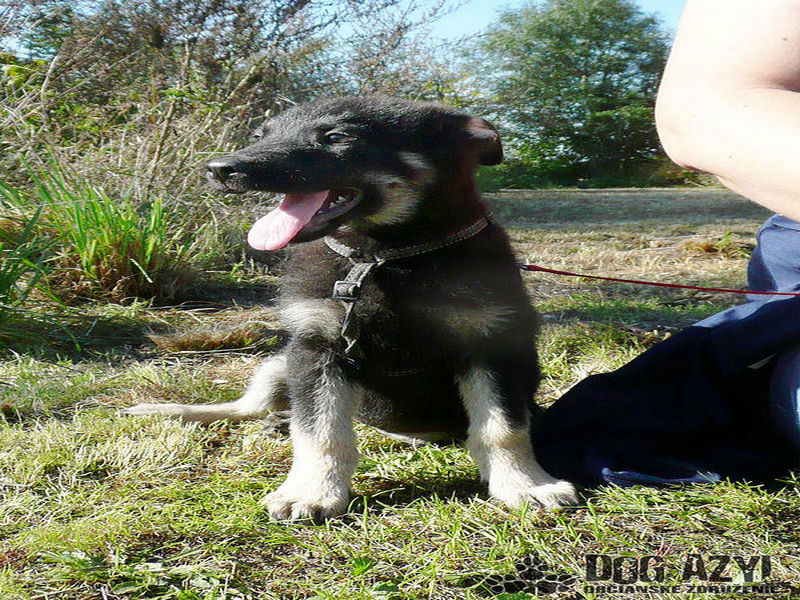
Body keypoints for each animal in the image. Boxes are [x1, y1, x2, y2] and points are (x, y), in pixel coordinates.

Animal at [126, 96, 577, 521]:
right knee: (248, 407)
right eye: (261, 134)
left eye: (338, 138)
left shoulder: (492, 344)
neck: (385, 258)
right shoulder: (316, 346)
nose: (218, 169)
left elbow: (502, 427)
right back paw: (173, 410)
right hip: (280, 363)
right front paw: (311, 492)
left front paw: (525, 484)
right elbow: (321, 430)